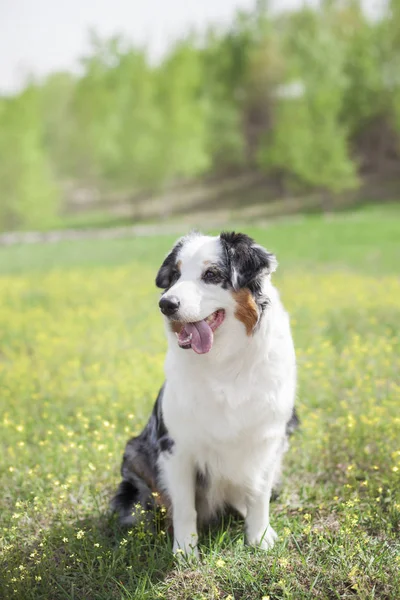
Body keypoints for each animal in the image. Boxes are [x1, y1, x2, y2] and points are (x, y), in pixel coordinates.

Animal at [111, 231, 296, 556]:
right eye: (174, 276)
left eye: (211, 275)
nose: (166, 304)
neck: (223, 363)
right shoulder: (176, 447)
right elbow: (185, 506)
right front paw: (185, 551)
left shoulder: (268, 438)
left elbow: (258, 494)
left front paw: (259, 538)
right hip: (135, 454)